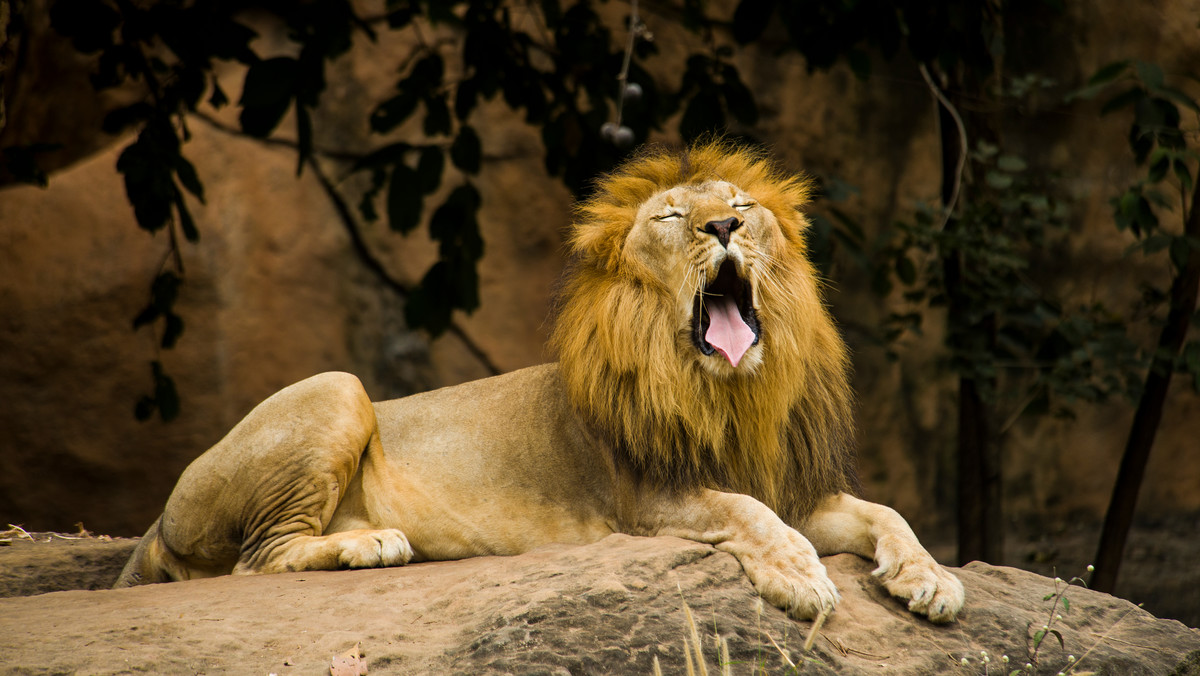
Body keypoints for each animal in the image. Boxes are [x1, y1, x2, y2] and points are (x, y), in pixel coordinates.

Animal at [117, 141, 964, 624]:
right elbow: (747, 513)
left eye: (742, 205)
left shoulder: (795, 484)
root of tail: (155, 524)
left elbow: (886, 514)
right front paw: (800, 577)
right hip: (337, 387)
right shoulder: (648, 499)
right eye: (672, 217)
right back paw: (370, 543)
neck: (729, 392)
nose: (722, 228)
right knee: (257, 558)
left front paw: (931, 581)